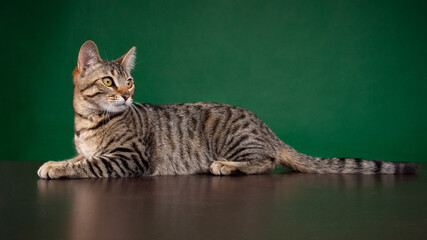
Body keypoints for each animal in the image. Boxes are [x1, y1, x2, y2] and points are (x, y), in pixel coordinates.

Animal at [36, 40, 418, 178]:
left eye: (129, 83)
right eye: (108, 82)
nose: (127, 97)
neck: (88, 121)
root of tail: (266, 127)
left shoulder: (129, 158)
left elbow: (89, 165)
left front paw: (58, 169)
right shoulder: (90, 149)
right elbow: (79, 157)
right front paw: (55, 161)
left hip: (236, 140)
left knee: (267, 162)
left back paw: (226, 166)